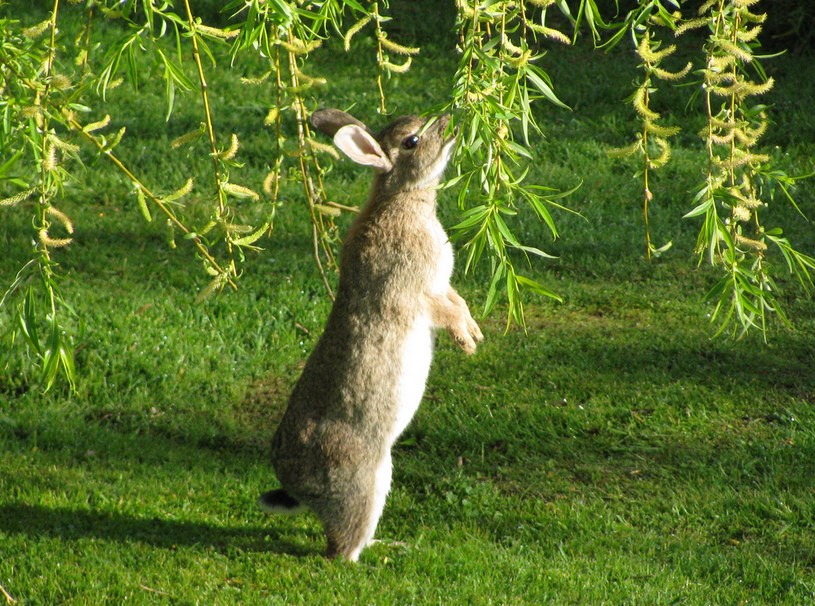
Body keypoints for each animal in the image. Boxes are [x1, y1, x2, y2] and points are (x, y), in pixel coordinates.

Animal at [258, 107, 482, 564]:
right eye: (412, 140)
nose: (452, 119)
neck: (402, 199)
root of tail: (296, 487)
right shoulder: (417, 289)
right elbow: (444, 311)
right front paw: (467, 343)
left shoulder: (442, 285)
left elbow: (459, 302)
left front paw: (475, 332)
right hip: (363, 481)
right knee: (342, 545)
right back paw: (373, 557)